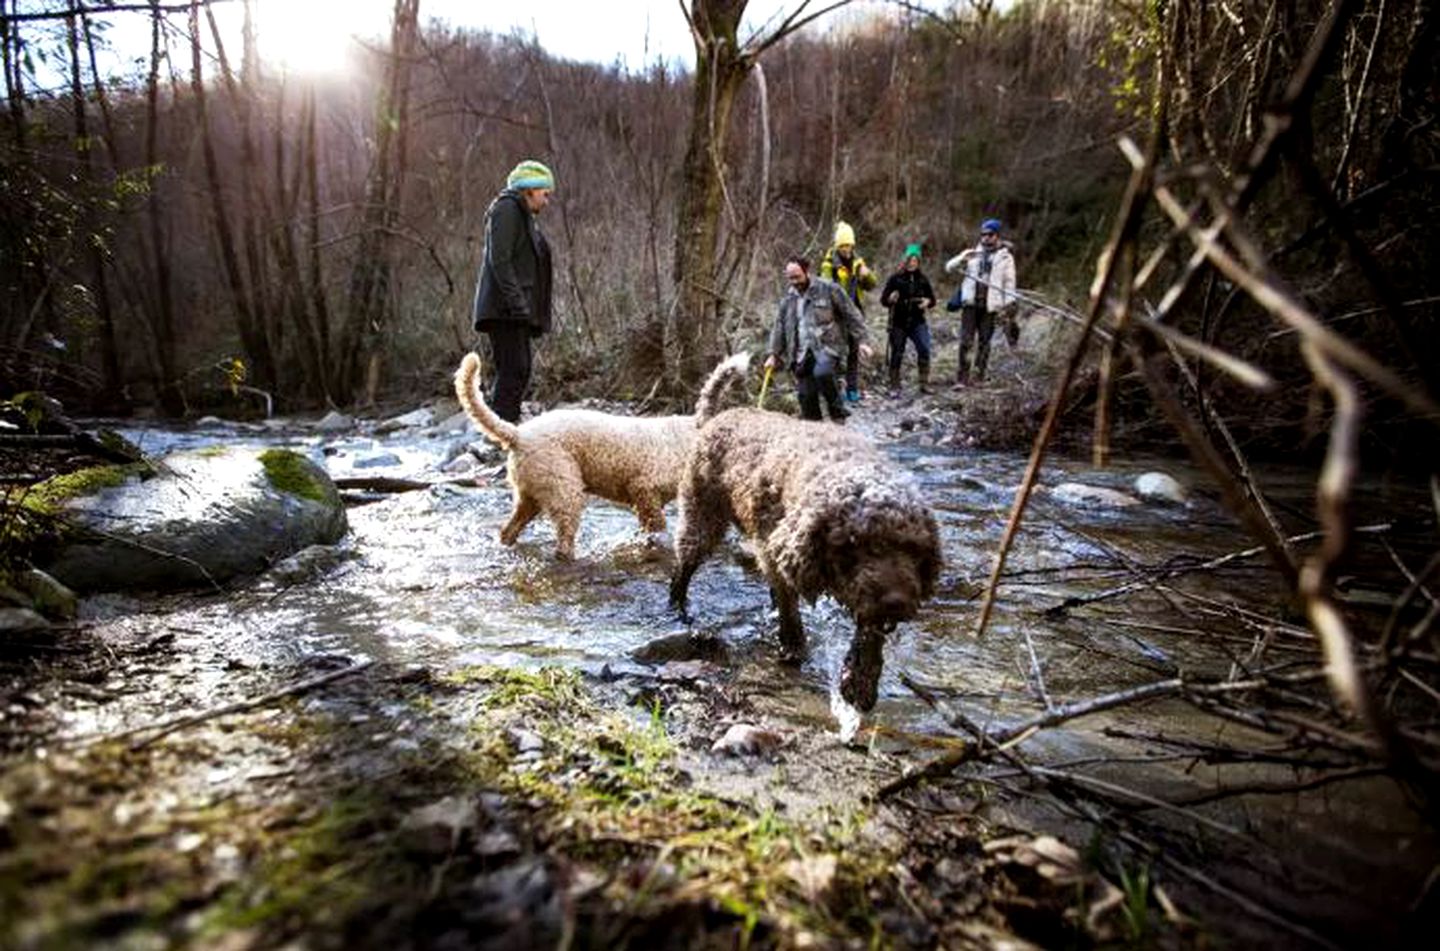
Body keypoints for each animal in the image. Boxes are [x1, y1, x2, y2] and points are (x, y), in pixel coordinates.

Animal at [449, 348, 748, 556]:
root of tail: (518, 434)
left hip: (531, 498)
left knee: (508, 531)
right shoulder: (645, 491)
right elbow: (658, 527)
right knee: (563, 543)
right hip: (566, 494)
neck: (693, 437)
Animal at [665, 400, 938, 714]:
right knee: (683, 568)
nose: (896, 602)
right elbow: (790, 609)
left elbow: (868, 634)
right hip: (701, 516)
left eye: (915, 548)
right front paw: (793, 647)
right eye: (854, 544)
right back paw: (679, 608)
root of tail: (720, 415)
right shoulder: (778, 552)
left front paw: (861, 680)